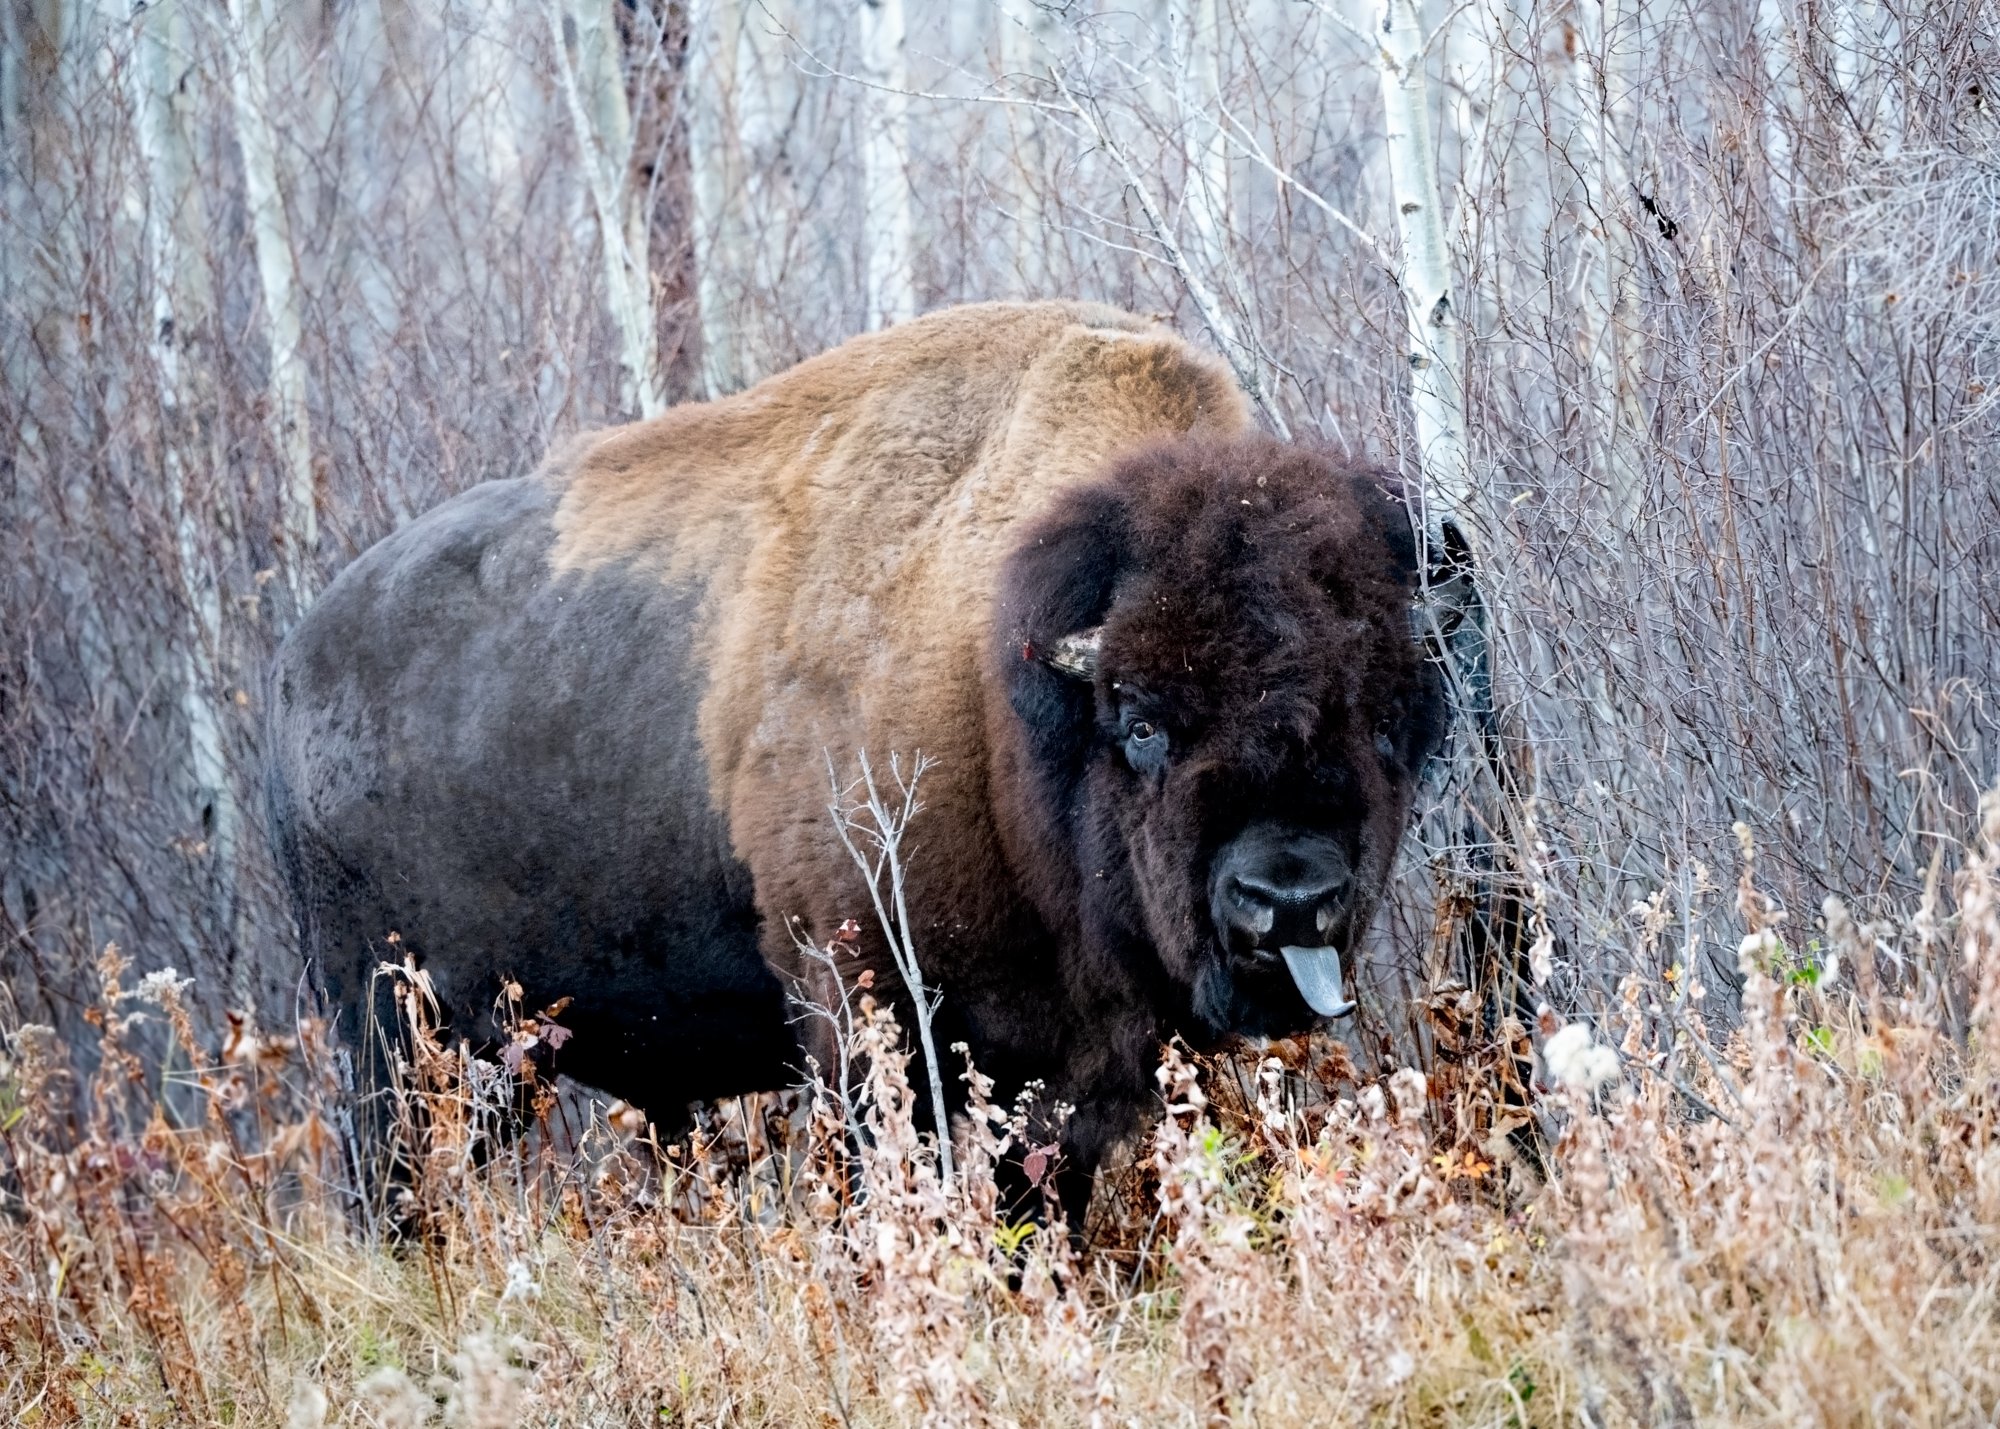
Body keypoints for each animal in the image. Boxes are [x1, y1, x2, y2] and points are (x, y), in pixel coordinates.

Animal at [270, 300, 1456, 1216]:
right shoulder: (863, 1019)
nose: (1287, 899)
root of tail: (297, 662)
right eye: (1140, 721)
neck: (997, 679)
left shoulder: (1072, 1070)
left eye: (1384, 720)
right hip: (397, 1038)